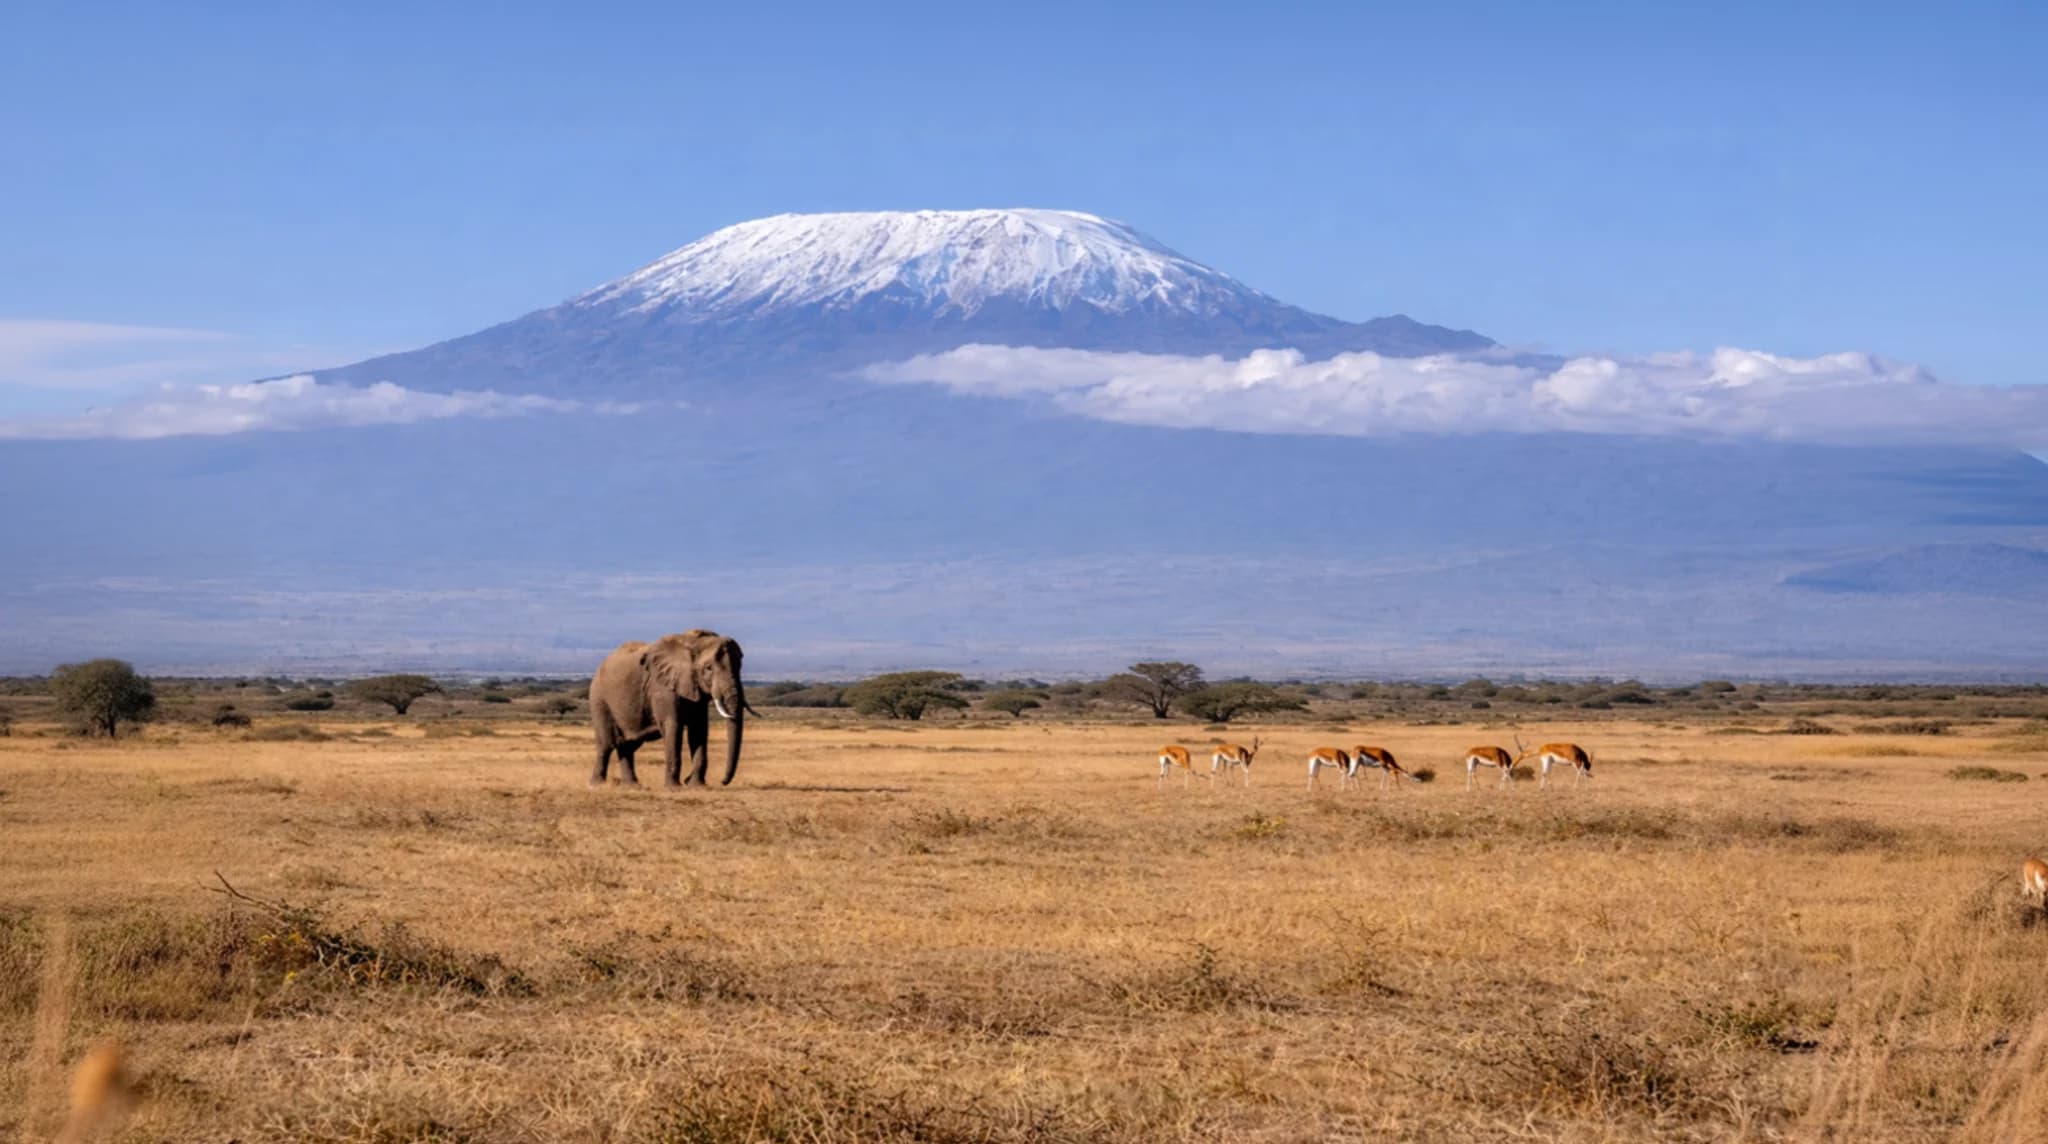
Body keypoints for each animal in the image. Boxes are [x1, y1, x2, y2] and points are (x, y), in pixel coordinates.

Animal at [588, 630, 751, 787]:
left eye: (739, 667)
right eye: (708, 668)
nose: (723, 782)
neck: (692, 642)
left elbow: (698, 730)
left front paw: (697, 786)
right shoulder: (662, 687)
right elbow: (673, 726)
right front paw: (674, 788)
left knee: (628, 745)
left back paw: (632, 786)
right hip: (599, 699)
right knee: (607, 743)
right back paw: (597, 785)